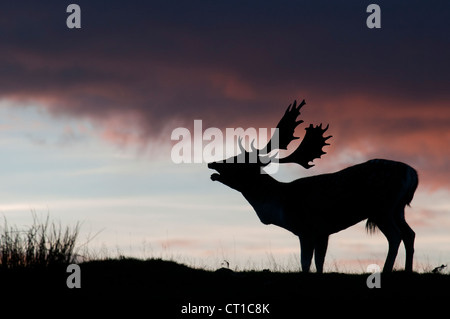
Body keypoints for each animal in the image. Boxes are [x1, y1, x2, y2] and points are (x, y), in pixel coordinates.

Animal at [207, 99, 418, 272]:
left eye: (239, 162)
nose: (212, 164)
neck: (279, 205)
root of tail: (413, 175)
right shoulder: (323, 232)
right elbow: (319, 263)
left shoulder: (306, 228)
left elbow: (306, 263)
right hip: (397, 209)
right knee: (409, 234)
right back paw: (407, 270)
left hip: (382, 208)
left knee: (395, 236)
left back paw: (386, 270)